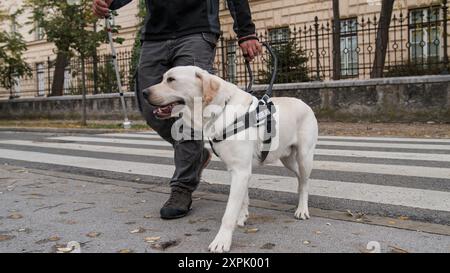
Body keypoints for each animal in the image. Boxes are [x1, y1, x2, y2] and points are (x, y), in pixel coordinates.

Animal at [143, 65, 316, 251]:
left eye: (171, 80)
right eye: (163, 78)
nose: (144, 92)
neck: (219, 109)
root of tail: (305, 103)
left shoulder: (241, 171)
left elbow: (229, 212)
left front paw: (222, 241)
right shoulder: (238, 170)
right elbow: (243, 199)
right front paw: (242, 217)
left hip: (304, 157)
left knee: (305, 181)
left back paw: (302, 209)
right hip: (287, 159)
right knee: (300, 178)